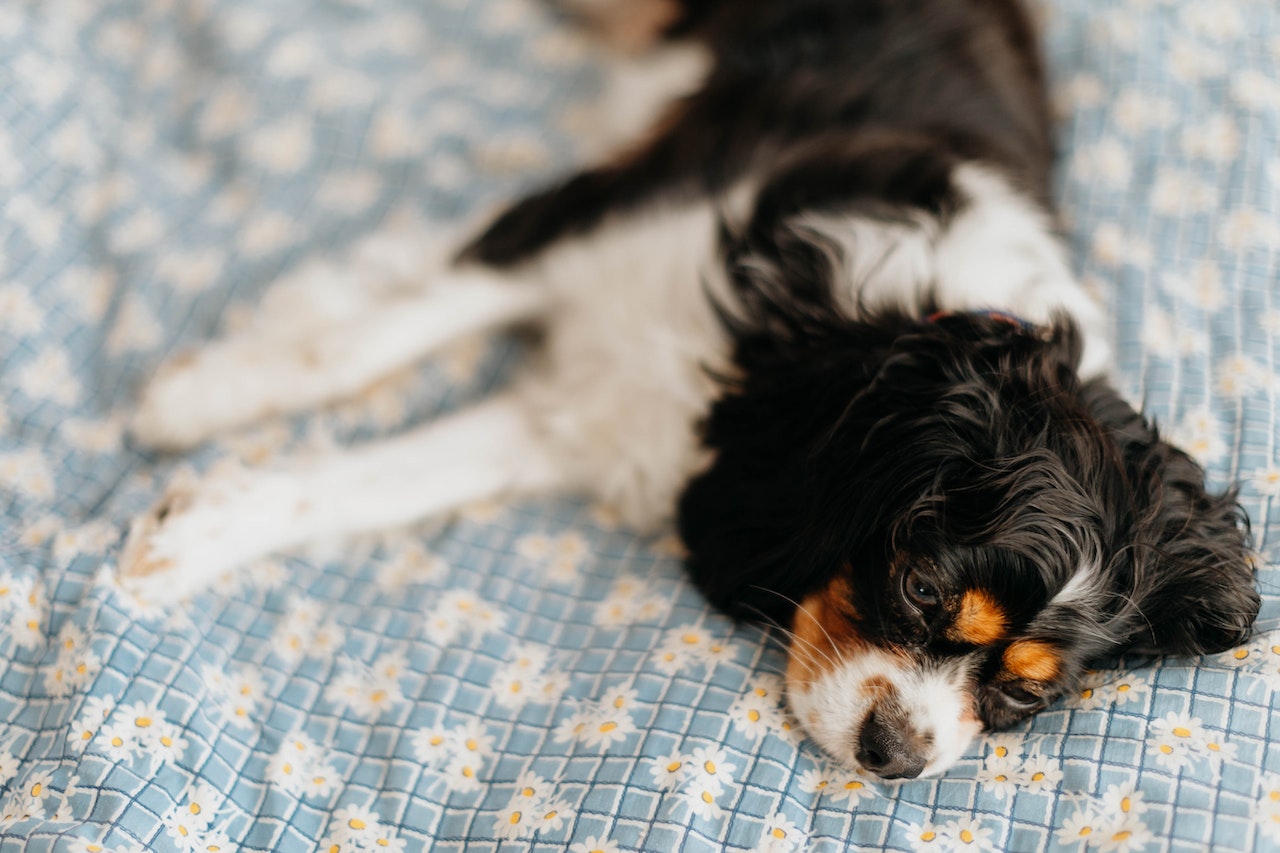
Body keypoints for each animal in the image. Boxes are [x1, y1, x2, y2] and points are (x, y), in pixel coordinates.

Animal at [120, 0, 1259, 778]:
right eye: (923, 589)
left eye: (1020, 697)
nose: (896, 754)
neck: (819, 348)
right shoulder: (589, 217)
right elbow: (363, 342)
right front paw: (202, 396)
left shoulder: (592, 415)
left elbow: (373, 483)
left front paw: (194, 530)